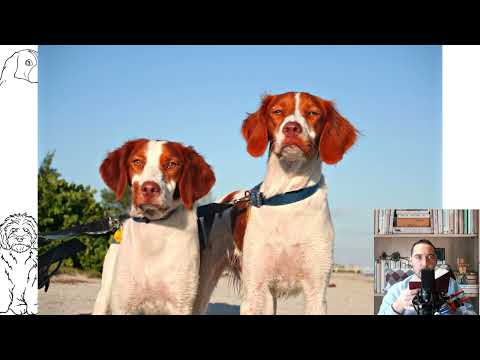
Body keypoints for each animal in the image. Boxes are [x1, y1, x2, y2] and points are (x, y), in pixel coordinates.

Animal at [92, 139, 216, 314]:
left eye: (172, 164)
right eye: (137, 161)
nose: (149, 188)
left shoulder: (181, 303)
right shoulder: (124, 304)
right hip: (104, 296)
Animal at [221, 91, 356, 314]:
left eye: (313, 113)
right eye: (277, 111)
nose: (292, 128)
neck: (287, 197)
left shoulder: (316, 291)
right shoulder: (256, 288)